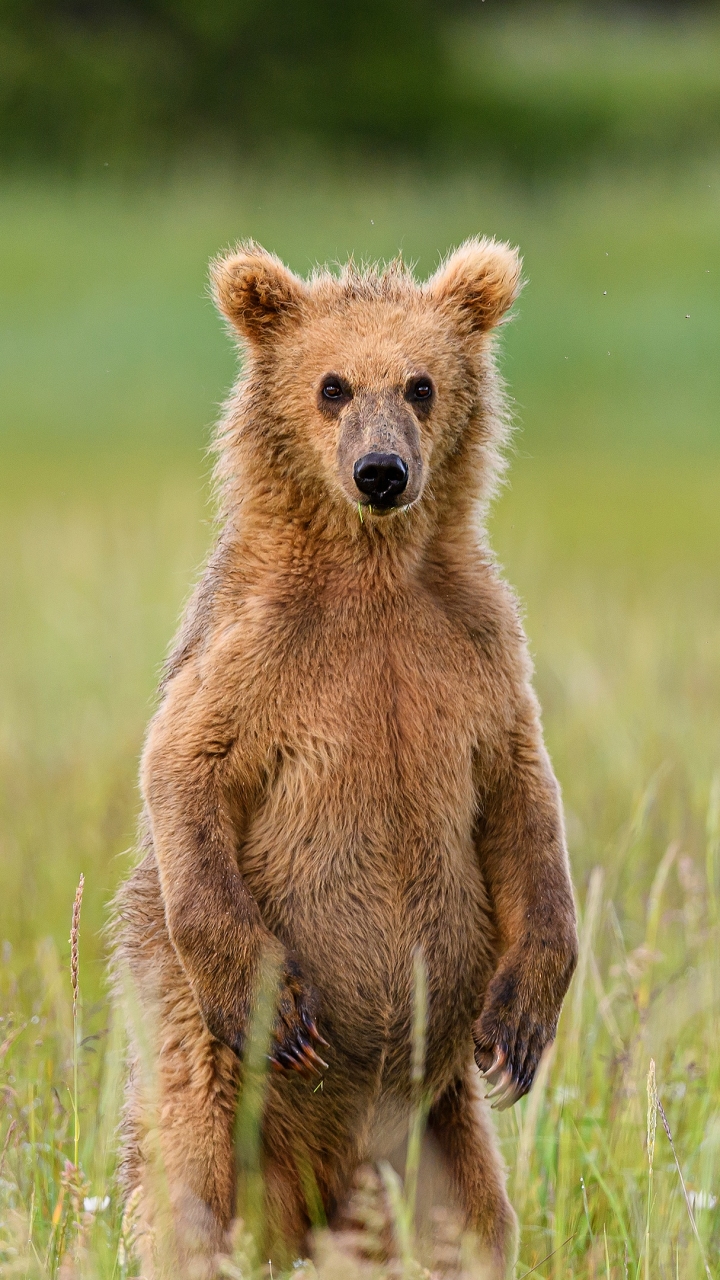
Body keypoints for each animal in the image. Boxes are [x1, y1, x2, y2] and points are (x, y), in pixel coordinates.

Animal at [113, 235, 576, 1274]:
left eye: (421, 384)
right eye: (331, 385)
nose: (381, 472)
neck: (374, 571)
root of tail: (318, 1191)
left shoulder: (473, 651)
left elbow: (524, 800)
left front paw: (524, 1021)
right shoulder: (258, 652)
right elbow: (185, 769)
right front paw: (274, 1005)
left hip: (438, 1138)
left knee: (477, 1224)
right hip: (210, 1096)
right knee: (189, 1201)